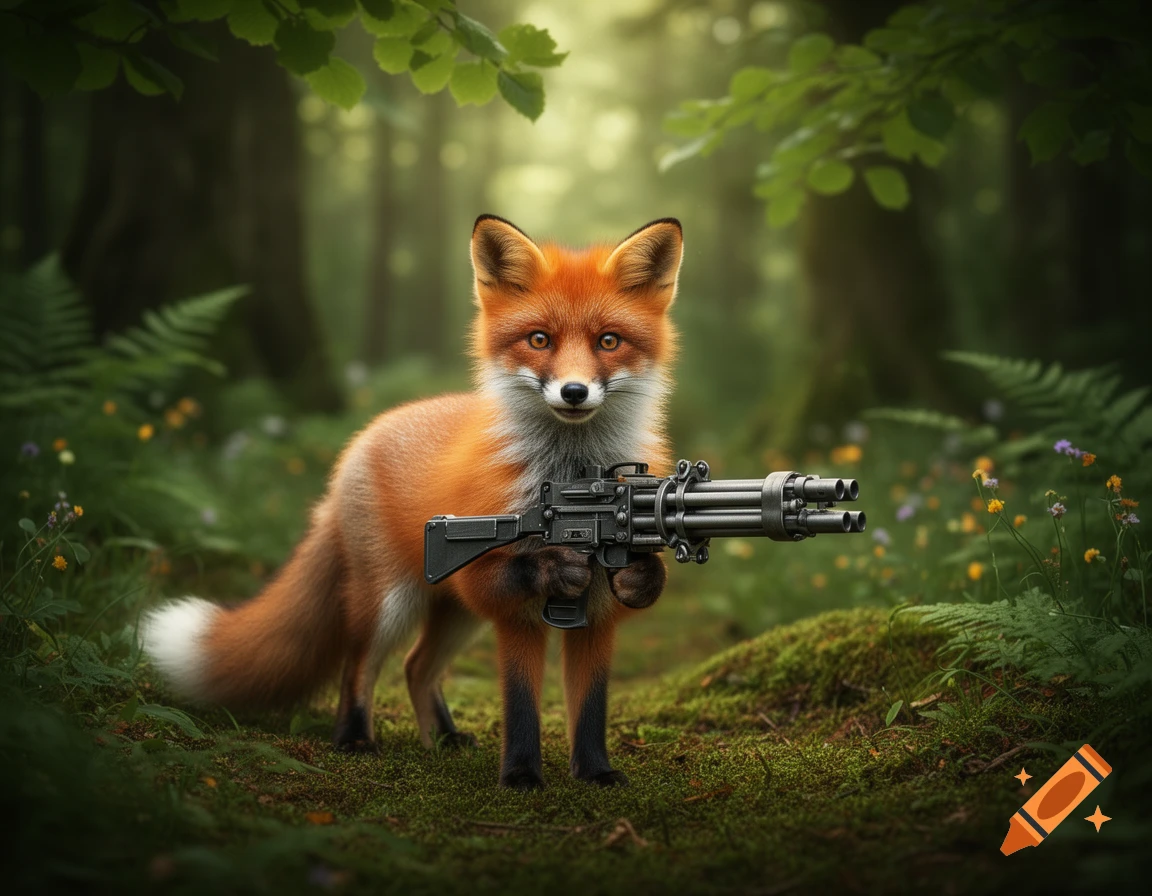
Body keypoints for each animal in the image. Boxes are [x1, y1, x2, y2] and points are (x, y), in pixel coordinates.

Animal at [141, 215, 683, 789]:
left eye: (609, 341)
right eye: (540, 339)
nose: (574, 391)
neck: (569, 472)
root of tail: (361, 442)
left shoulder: (598, 614)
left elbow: (593, 704)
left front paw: (596, 773)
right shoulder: (507, 602)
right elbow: (519, 699)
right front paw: (520, 777)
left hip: (456, 616)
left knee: (417, 667)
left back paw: (444, 738)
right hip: (391, 602)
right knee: (359, 665)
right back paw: (354, 739)